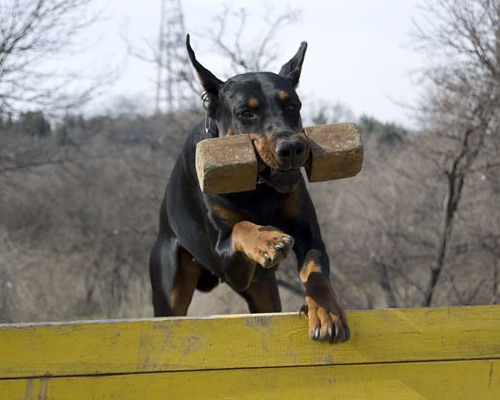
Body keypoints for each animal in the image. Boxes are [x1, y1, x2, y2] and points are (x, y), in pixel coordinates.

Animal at [150, 34, 350, 342]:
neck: (259, 188)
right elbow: (241, 228)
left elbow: (316, 269)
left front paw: (326, 312)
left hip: (264, 290)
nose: (292, 148)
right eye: (246, 113)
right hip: (170, 286)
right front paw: (268, 239)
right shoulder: (225, 258)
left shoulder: (308, 234)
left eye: (292, 106)